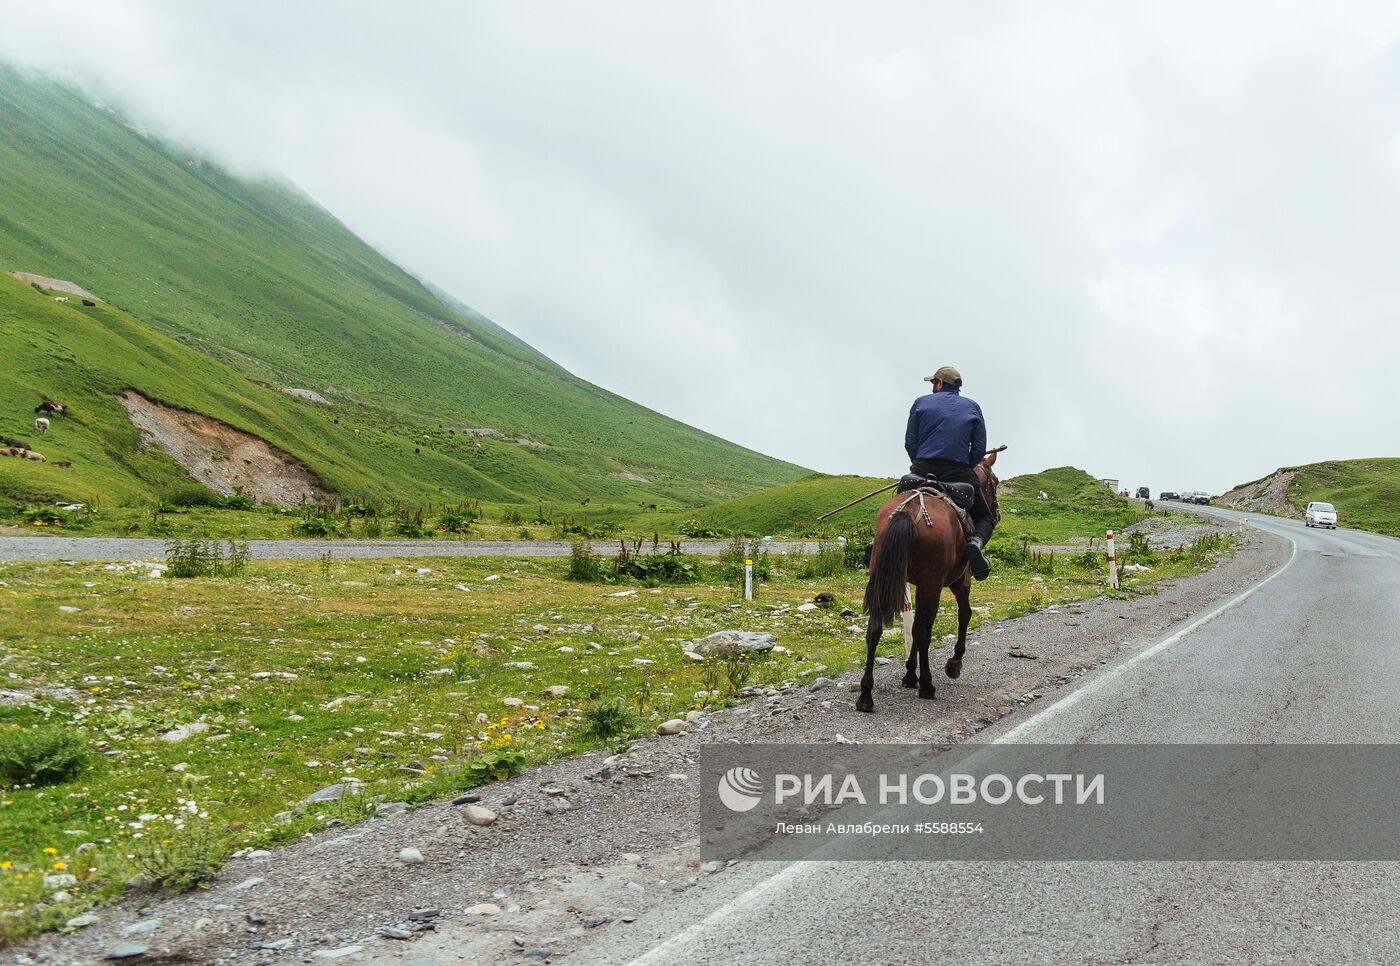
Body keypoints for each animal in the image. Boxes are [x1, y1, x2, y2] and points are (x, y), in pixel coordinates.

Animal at [845, 448, 1002, 711]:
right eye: (995, 482)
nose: (997, 513)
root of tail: (910, 511)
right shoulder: (959, 581)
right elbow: (963, 614)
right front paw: (953, 664)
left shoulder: (920, 584)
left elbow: (916, 624)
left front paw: (910, 674)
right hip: (934, 584)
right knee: (924, 632)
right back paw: (928, 685)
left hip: (884, 579)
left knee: (875, 629)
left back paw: (866, 694)